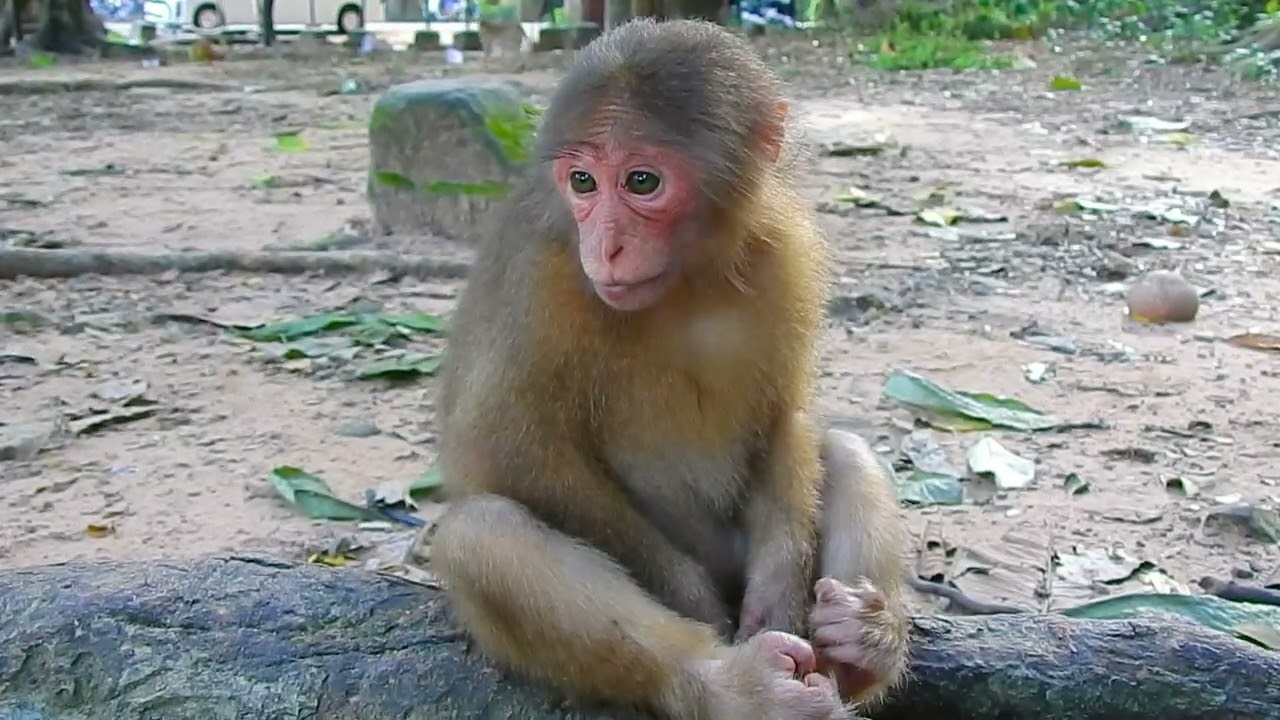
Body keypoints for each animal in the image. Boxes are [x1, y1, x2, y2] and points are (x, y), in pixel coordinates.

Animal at [428, 17, 910, 720]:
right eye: (582, 183)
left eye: (642, 183)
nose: (606, 245)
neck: (688, 278)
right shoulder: (541, 274)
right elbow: (496, 449)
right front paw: (694, 599)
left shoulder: (787, 248)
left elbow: (783, 415)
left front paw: (779, 595)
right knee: (480, 535)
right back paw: (734, 686)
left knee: (844, 451)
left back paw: (860, 648)